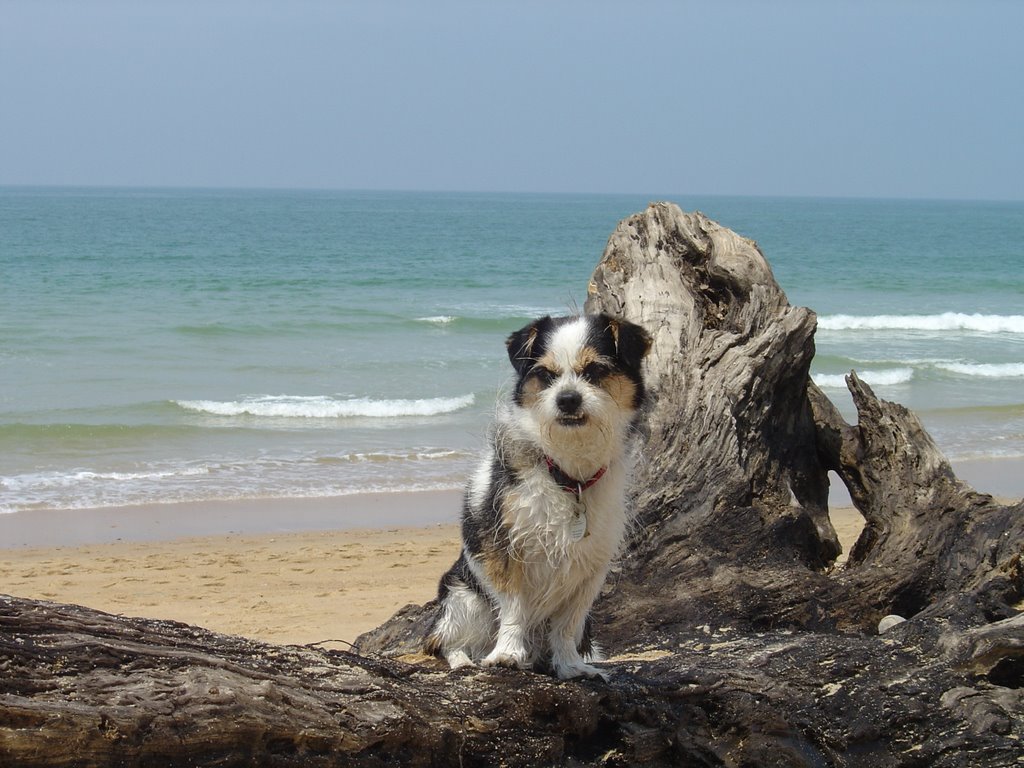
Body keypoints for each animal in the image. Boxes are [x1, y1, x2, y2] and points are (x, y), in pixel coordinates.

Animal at [421, 313, 647, 679]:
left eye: (595, 371)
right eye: (546, 375)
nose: (567, 399)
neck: (568, 473)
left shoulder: (590, 568)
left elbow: (568, 625)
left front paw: (571, 665)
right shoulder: (503, 550)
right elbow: (514, 607)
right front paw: (507, 654)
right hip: (463, 600)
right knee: (447, 642)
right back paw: (466, 660)